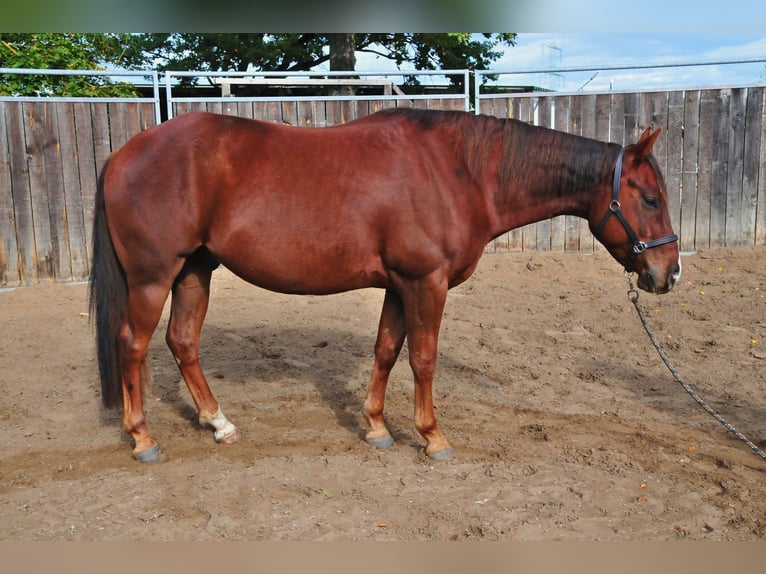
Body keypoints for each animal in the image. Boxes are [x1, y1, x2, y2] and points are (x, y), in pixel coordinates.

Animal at [89, 107, 681, 462]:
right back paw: (142, 437)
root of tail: (122, 153)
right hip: (153, 277)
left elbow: (387, 351)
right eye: (650, 198)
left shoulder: (400, 285)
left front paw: (376, 428)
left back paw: (219, 423)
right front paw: (432, 437)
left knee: (182, 342)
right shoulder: (426, 282)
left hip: (195, 270)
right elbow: (423, 358)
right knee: (133, 345)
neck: (458, 173)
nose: (667, 274)